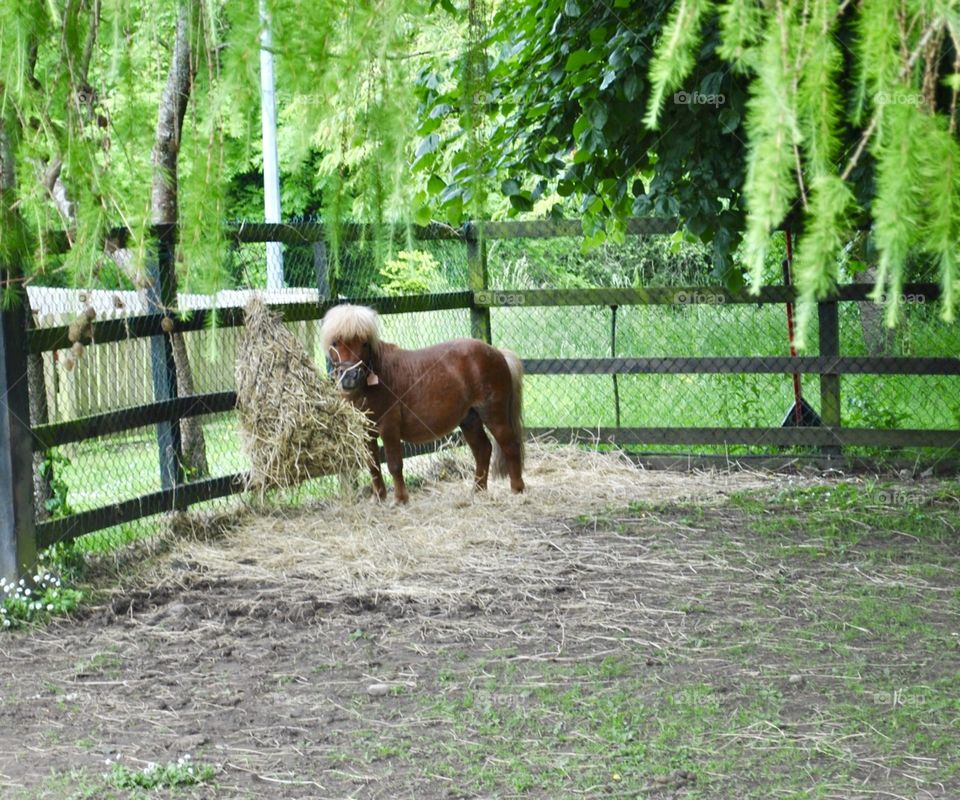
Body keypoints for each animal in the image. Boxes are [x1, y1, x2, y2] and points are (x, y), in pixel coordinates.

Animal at [320, 304, 524, 504]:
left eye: (364, 343)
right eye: (335, 343)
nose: (350, 377)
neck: (376, 378)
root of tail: (497, 352)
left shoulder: (389, 428)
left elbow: (394, 464)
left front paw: (400, 499)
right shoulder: (365, 432)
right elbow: (373, 465)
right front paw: (378, 498)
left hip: (493, 415)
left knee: (510, 445)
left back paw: (517, 489)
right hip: (470, 419)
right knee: (483, 450)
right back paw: (478, 490)